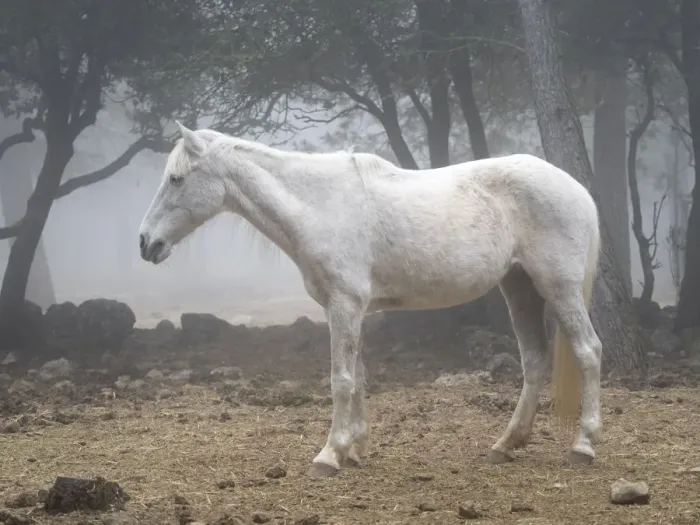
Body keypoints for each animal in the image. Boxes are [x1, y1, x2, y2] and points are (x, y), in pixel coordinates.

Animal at [138, 122, 603, 478]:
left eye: (176, 179)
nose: (145, 243)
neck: (320, 205)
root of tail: (577, 189)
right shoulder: (347, 309)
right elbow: (358, 377)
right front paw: (355, 449)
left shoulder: (345, 305)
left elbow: (341, 380)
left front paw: (329, 455)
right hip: (519, 287)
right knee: (535, 360)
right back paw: (506, 444)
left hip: (558, 287)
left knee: (587, 351)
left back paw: (583, 445)